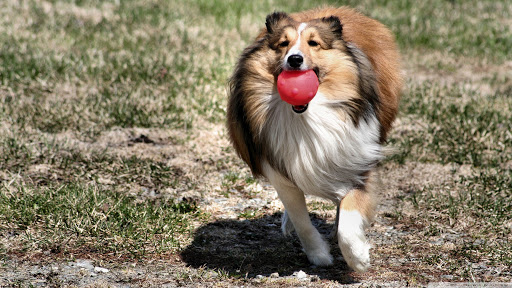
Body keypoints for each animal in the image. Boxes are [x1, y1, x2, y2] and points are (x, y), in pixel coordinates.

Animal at [227, 6, 400, 272]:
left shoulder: (359, 162)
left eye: (314, 43)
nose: (295, 59)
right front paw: (319, 254)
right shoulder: (280, 170)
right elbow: (302, 220)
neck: (307, 117)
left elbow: (348, 215)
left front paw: (357, 257)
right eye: (283, 43)